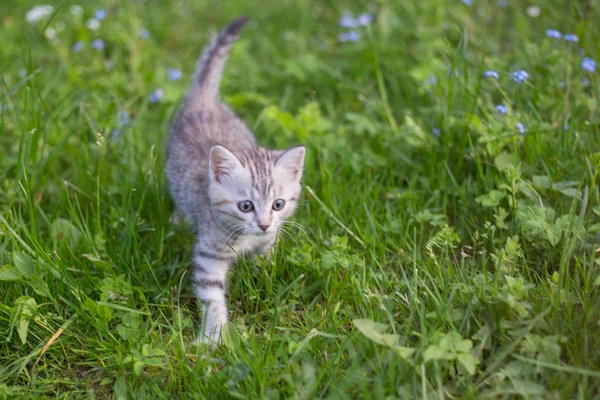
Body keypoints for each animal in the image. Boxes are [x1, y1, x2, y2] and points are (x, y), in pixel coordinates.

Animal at [166, 17, 304, 346]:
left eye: (278, 204)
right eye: (245, 206)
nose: (264, 224)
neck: (245, 239)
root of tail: (205, 98)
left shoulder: (268, 240)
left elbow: (265, 262)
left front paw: (263, 277)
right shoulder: (208, 255)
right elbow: (212, 296)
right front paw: (214, 337)